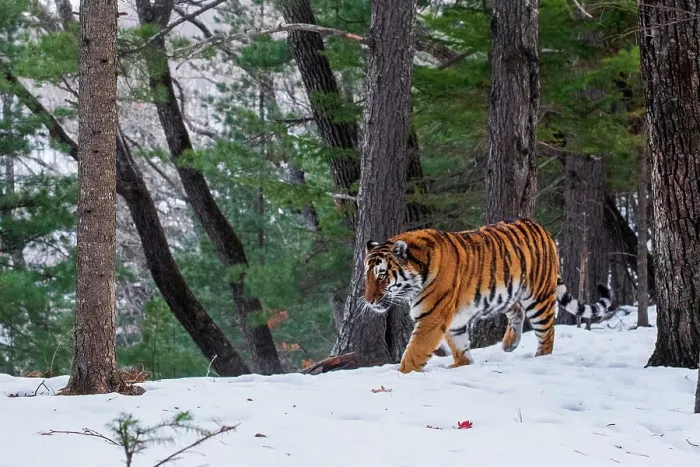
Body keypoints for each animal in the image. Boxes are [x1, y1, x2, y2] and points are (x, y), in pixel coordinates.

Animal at [363, 218, 613, 374]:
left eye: (382, 275)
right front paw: (462, 365)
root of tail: (543, 229)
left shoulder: (431, 318)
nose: (368, 301)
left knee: (547, 333)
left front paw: (400, 374)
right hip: (506, 291)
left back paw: (541, 357)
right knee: (516, 309)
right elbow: (459, 345)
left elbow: (414, 351)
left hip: (539, 297)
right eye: (366, 276)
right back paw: (509, 344)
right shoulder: (454, 319)